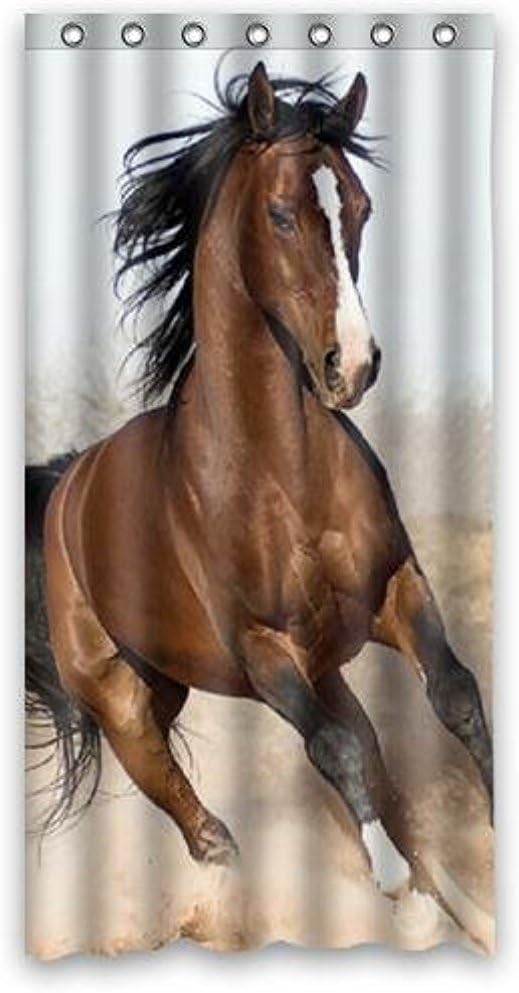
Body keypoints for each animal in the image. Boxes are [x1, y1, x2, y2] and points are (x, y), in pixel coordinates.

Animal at [27, 62, 493, 912]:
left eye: (359, 207)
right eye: (280, 215)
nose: (353, 365)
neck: (281, 476)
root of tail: (67, 481)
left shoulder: (394, 588)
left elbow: (453, 693)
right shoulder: (260, 647)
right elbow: (335, 749)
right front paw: (387, 873)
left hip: (288, 670)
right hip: (126, 700)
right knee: (199, 817)